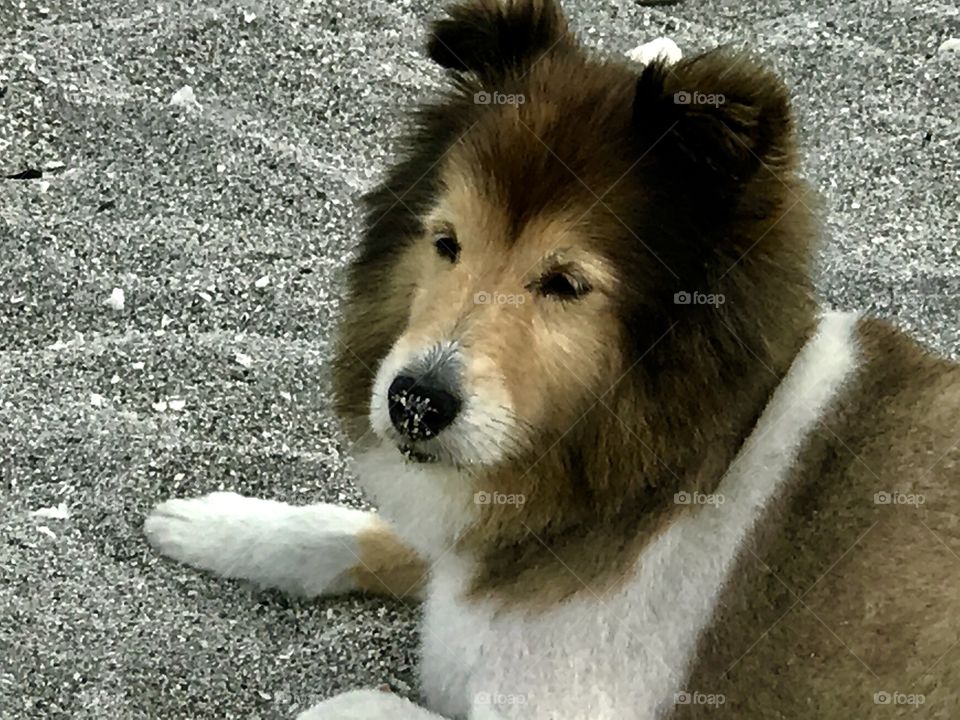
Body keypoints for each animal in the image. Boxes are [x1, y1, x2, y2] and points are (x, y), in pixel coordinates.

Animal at [142, 1, 960, 720]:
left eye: (565, 282)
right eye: (447, 241)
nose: (415, 403)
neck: (674, 463)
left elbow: (345, 700)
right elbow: (372, 531)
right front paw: (214, 523)